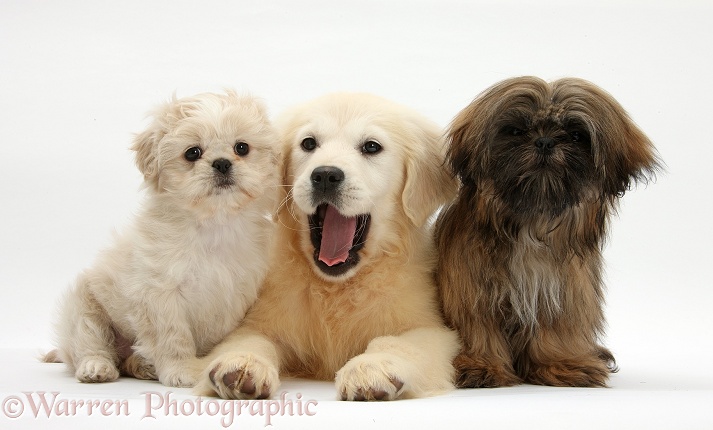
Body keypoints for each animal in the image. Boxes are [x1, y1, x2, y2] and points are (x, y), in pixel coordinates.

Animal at [43, 92, 278, 388]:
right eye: (193, 153)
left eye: (242, 148)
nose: (223, 163)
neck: (213, 224)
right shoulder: (158, 294)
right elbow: (172, 338)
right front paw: (183, 371)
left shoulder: (235, 295)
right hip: (83, 306)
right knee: (88, 342)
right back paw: (97, 367)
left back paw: (142, 365)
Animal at [195, 92, 458, 402]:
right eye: (309, 143)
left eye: (371, 147)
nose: (325, 175)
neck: (336, 287)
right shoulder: (260, 318)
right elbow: (252, 339)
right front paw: (242, 363)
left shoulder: (432, 329)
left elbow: (396, 342)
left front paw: (372, 367)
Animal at [436, 78, 660, 390]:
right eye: (516, 131)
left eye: (576, 135)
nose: (544, 142)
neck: (533, 223)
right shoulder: (469, 290)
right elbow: (477, 328)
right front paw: (479, 365)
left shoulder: (563, 291)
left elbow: (556, 330)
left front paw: (562, 364)